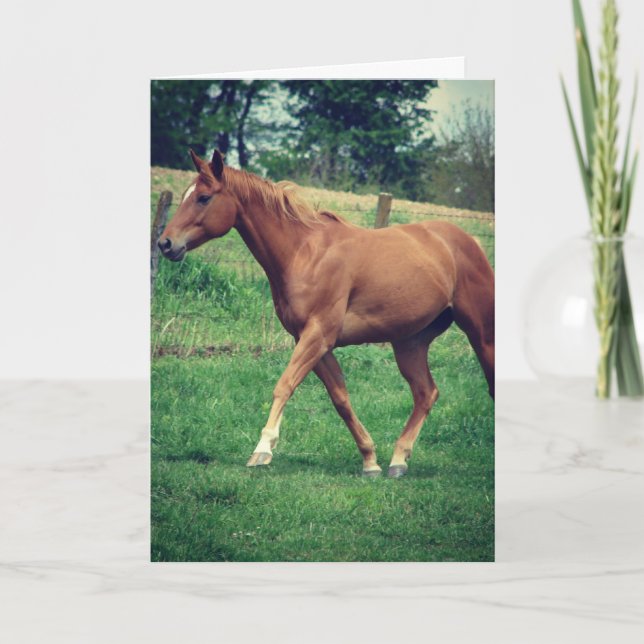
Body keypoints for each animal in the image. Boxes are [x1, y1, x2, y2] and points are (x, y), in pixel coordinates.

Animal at [158, 148, 494, 478]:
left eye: (203, 197)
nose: (165, 243)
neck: (304, 254)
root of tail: (465, 241)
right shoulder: (313, 342)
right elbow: (340, 399)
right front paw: (370, 461)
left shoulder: (317, 336)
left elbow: (284, 385)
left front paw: (262, 449)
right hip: (409, 343)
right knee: (426, 393)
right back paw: (398, 461)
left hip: (481, 334)